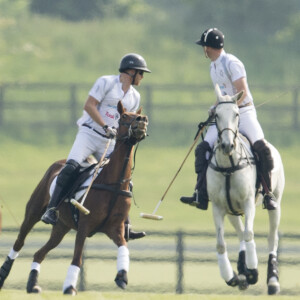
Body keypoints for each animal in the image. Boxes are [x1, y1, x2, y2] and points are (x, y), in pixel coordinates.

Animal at [0, 102, 148, 294]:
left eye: (137, 114)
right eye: (123, 116)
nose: (142, 120)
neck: (113, 184)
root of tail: (59, 162)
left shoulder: (115, 228)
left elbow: (124, 247)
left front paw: (122, 276)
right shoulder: (84, 225)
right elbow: (77, 258)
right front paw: (69, 287)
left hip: (61, 226)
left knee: (39, 253)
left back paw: (32, 284)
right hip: (33, 211)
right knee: (19, 241)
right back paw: (4, 273)